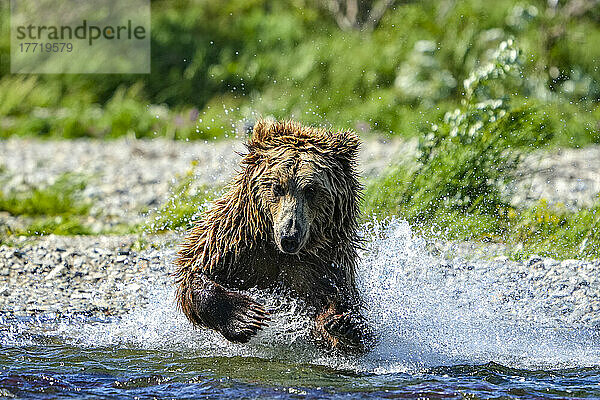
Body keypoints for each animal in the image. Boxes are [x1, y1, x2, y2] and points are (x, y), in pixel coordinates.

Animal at [172, 120, 370, 352]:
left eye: (311, 190)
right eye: (277, 187)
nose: (289, 236)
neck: (278, 250)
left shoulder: (324, 265)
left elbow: (336, 307)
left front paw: (343, 324)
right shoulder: (234, 242)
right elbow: (194, 272)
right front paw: (245, 317)